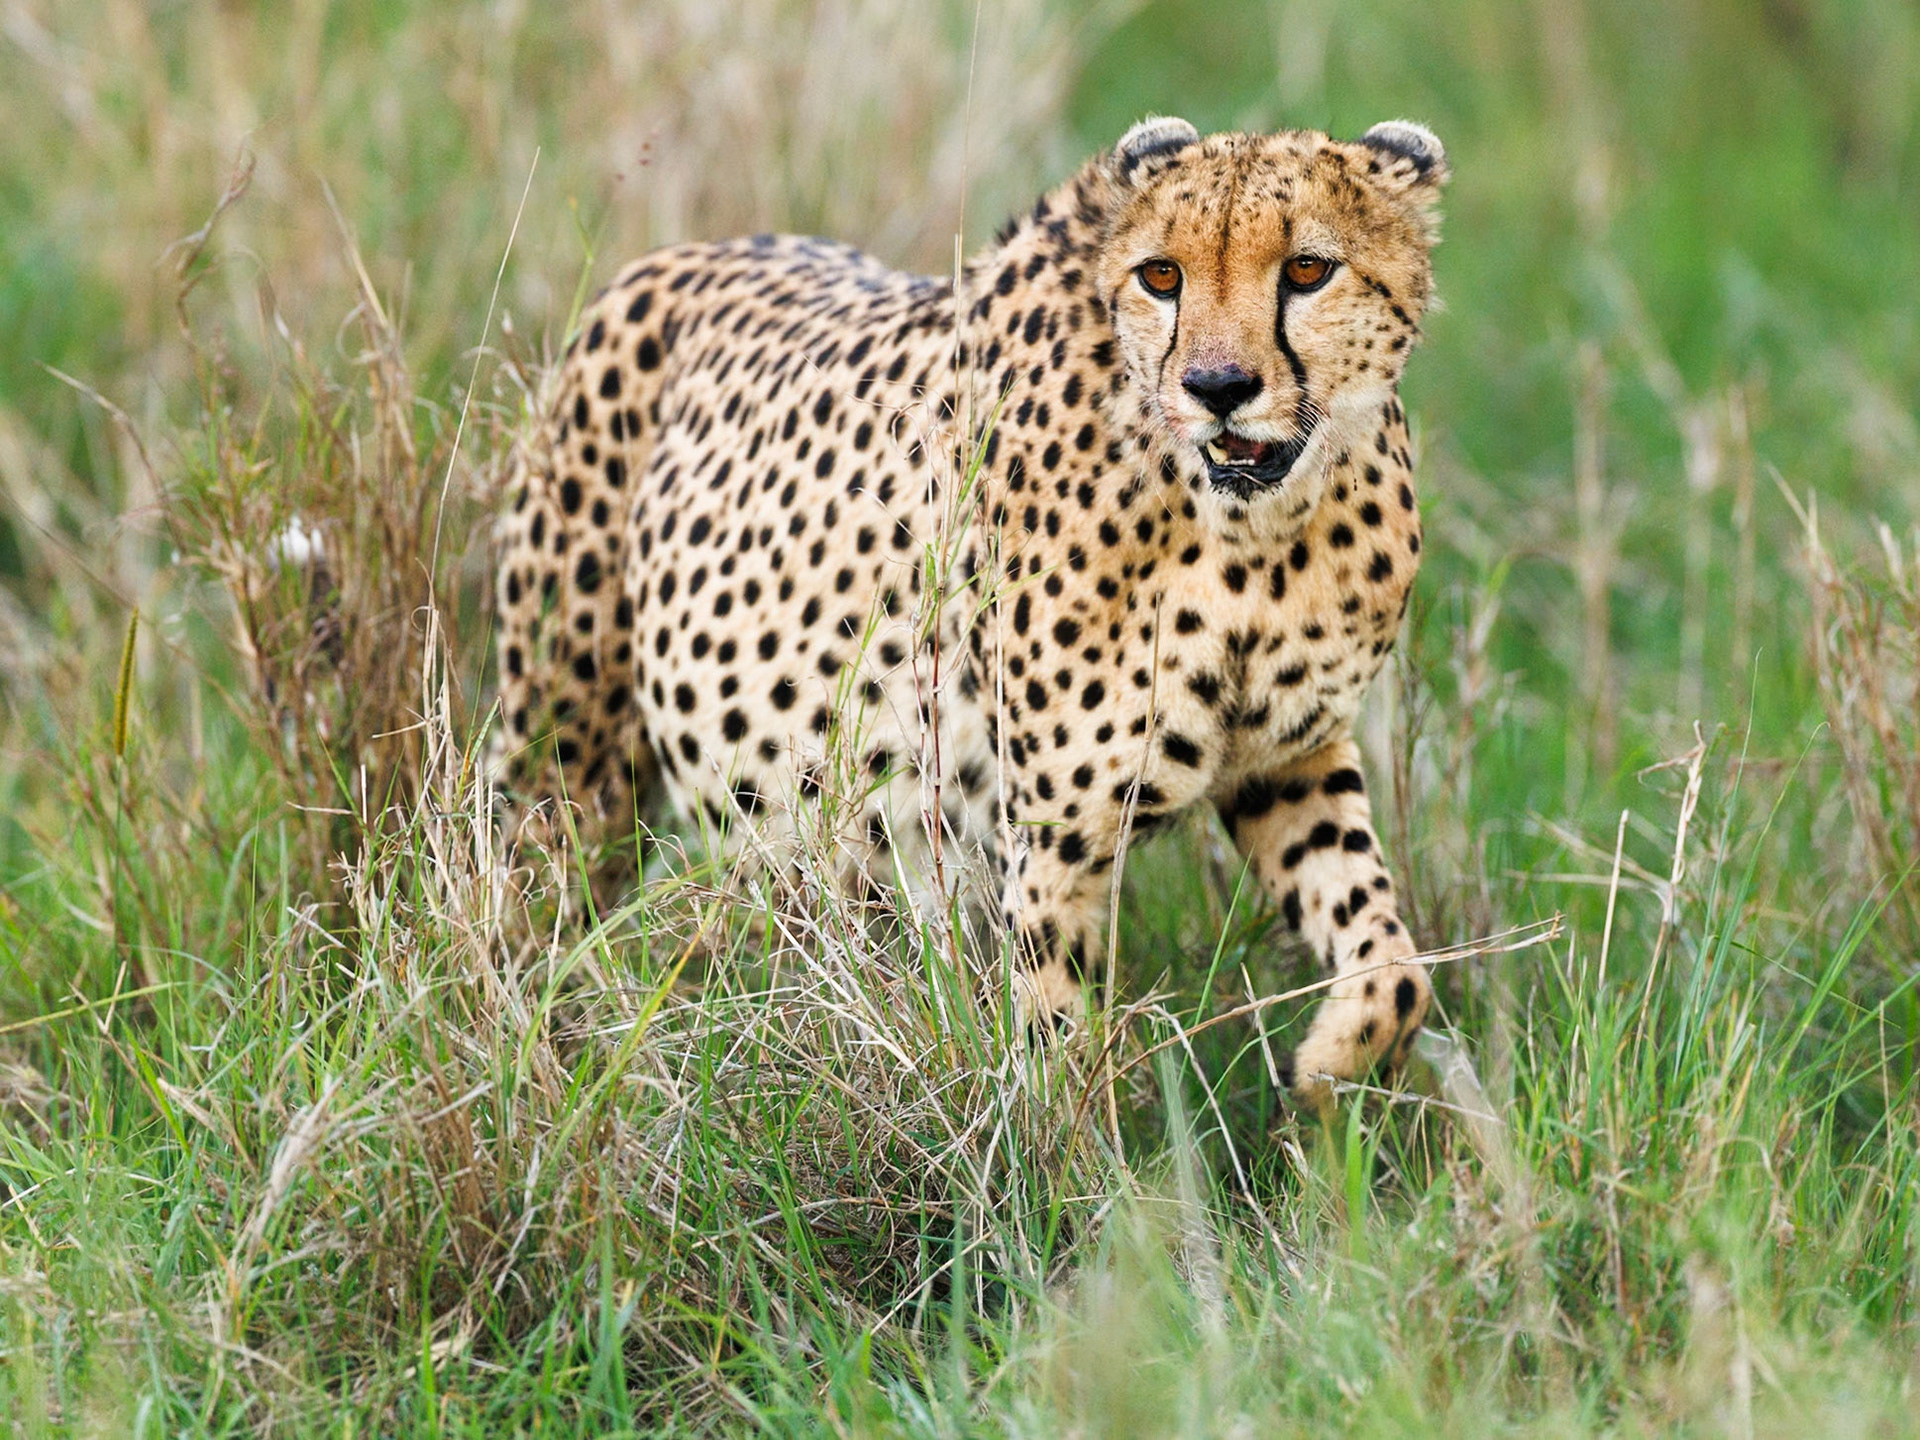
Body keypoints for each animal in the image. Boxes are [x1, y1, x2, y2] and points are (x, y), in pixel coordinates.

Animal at [493, 115, 1451, 1108]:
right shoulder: (1055, 842)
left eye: (1307, 269)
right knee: (523, 910)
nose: (1218, 388)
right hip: (571, 757)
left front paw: (1332, 1067)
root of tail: (676, 257)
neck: (1254, 536)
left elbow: (1394, 960)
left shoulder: (1287, 763)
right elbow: (1057, 1055)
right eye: (1162, 275)